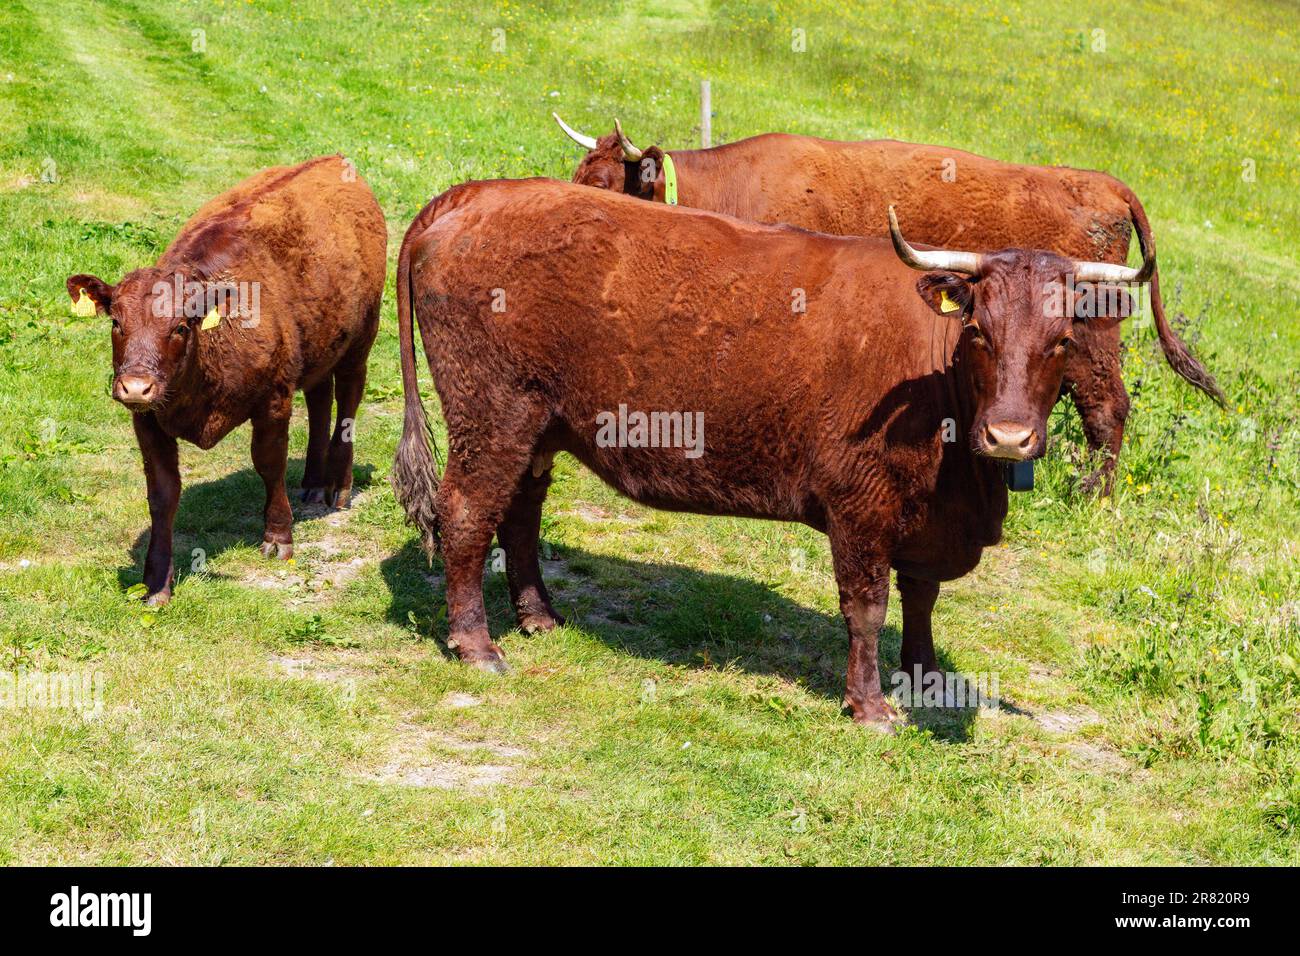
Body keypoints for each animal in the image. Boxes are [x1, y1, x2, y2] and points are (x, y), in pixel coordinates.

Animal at [67, 155, 387, 606]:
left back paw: (337, 486)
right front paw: (157, 581)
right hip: (319, 344)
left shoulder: (273, 398)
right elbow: (163, 493)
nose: (136, 386)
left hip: (362, 336)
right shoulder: (147, 420)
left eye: (181, 327)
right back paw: (311, 482)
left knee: (348, 400)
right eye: (116, 322)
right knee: (320, 399)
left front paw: (278, 537)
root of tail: (334, 161)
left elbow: (268, 462)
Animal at [390, 178, 1149, 729]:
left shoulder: (923, 516)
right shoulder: (861, 506)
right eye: (980, 332)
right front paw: (870, 706)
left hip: (536, 426)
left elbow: (923, 595)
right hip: (492, 414)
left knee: (519, 511)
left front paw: (926, 676)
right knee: (467, 512)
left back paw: (539, 617)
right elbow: (867, 607)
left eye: (1060, 339)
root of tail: (474, 195)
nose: (1009, 437)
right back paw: (476, 646)